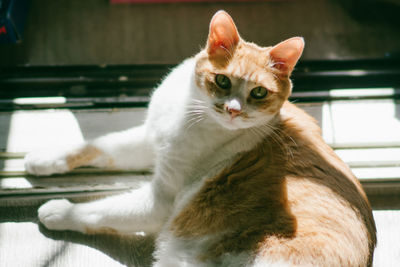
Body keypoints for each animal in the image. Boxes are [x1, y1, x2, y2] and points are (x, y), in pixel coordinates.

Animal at [25, 9, 376, 266]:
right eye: (222, 81)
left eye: (259, 93)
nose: (233, 110)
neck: (189, 113)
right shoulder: (149, 138)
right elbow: (94, 147)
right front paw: (42, 159)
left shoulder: (161, 201)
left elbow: (101, 210)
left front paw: (58, 211)